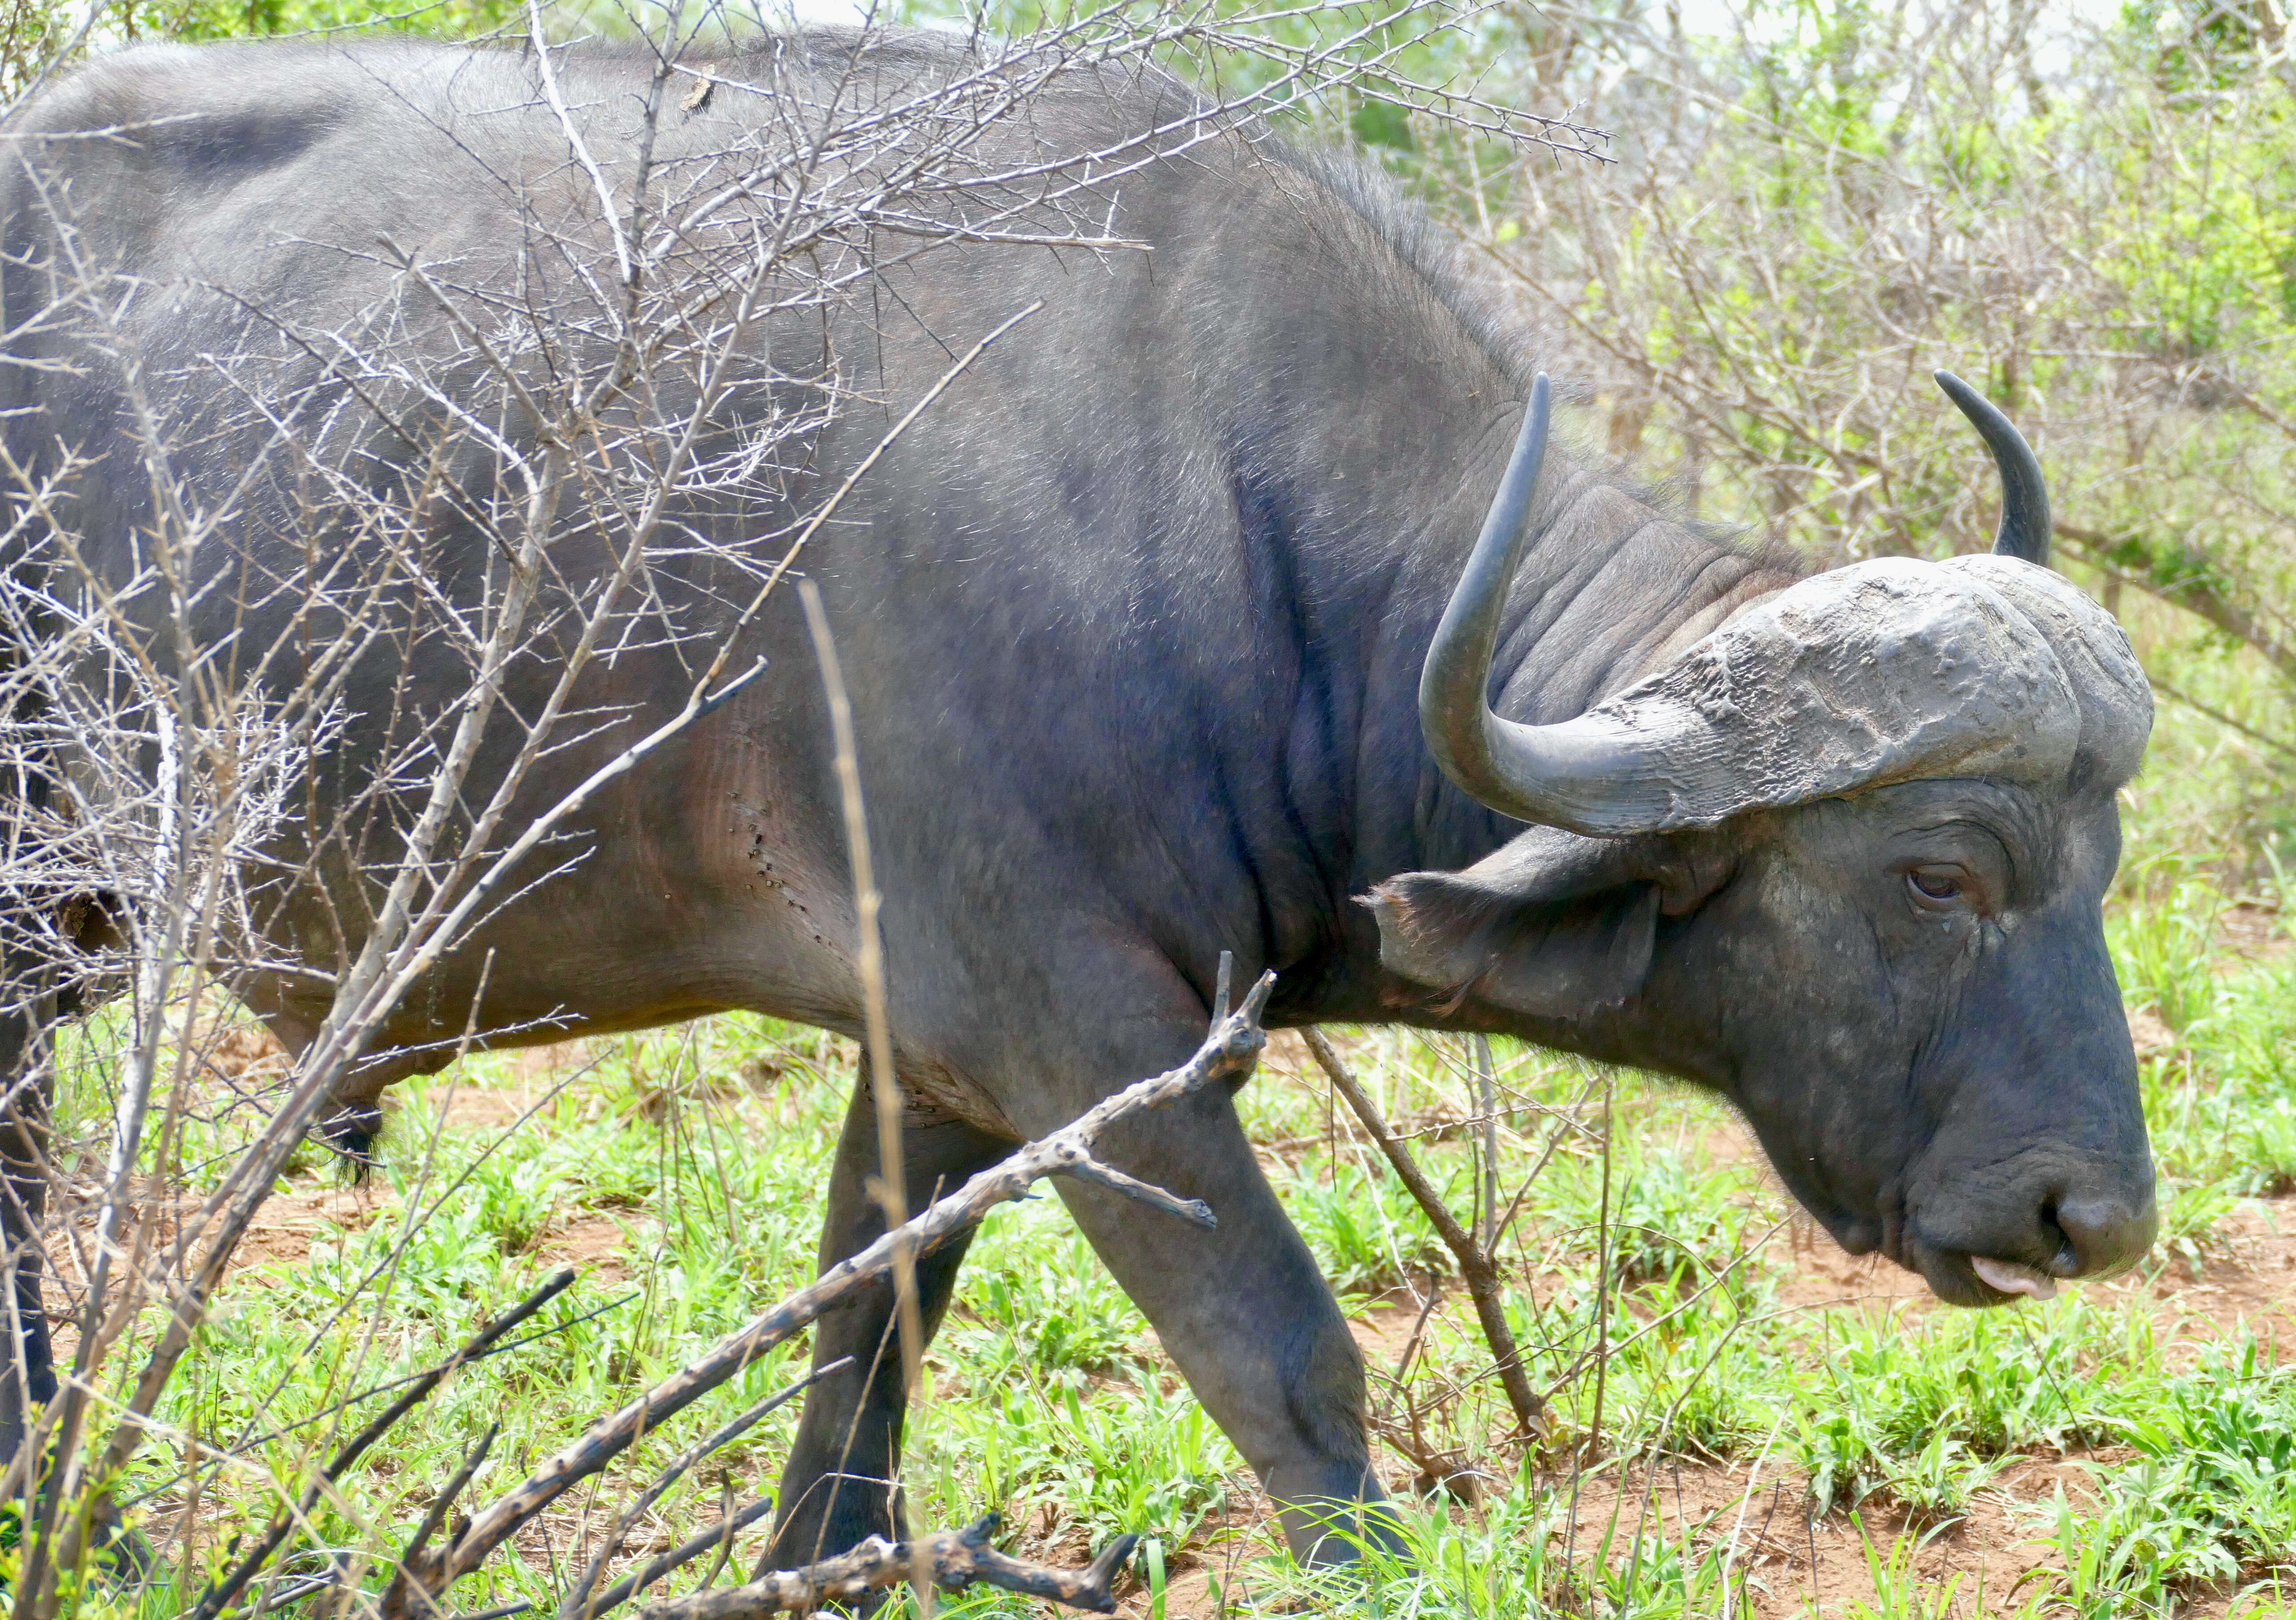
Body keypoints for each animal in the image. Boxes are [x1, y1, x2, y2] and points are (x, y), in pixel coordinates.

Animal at [0, 25, 2149, 1560]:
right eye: (1938, 873)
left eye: (2097, 868)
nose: (2091, 1213)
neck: (1224, 524)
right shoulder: (1082, 1040)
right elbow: (1283, 1360)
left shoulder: (931, 1062)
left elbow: (860, 1367)